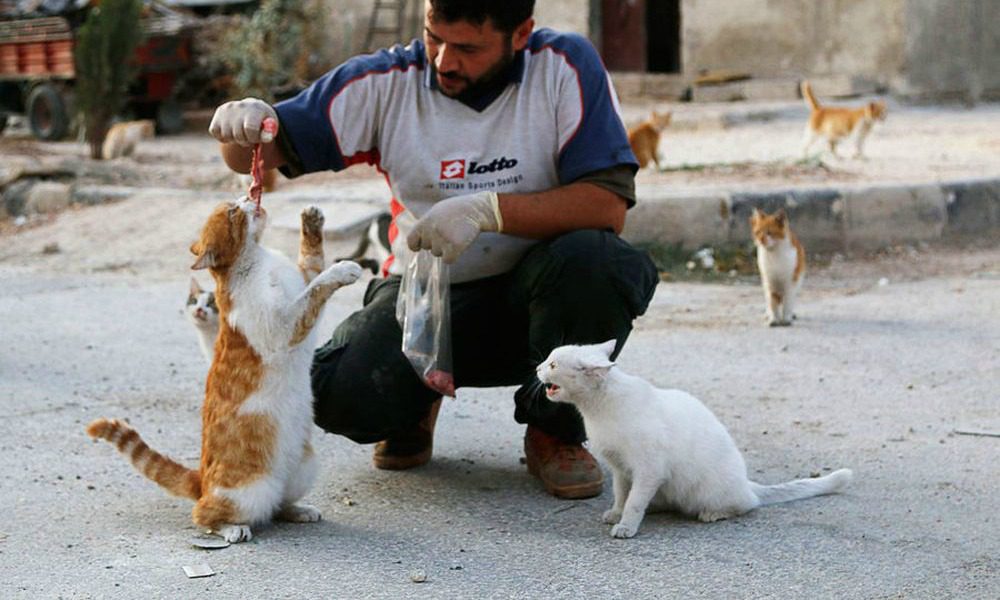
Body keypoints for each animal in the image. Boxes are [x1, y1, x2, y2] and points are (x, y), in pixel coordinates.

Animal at [85, 202, 360, 544]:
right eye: (232, 212)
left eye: (235, 204)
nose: (248, 199)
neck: (259, 260)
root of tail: (201, 480)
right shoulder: (285, 326)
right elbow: (317, 288)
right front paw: (343, 270)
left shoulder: (301, 280)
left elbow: (312, 263)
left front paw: (310, 220)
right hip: (250, 491)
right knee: (205, 514)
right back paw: (233, 528)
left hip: (303, 470)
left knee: (277, 505)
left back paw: (297, 510)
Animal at [536, 342, 856, 540]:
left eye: (552, 364)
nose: (537, 368)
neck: (599, 410)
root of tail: (746, 481)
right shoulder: (621, 469)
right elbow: (622, 494)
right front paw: (616, 513)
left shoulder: (648, 469)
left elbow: (634, 501)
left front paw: (626, 525)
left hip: (709, 491)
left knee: (747, 504)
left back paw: (713, 513)